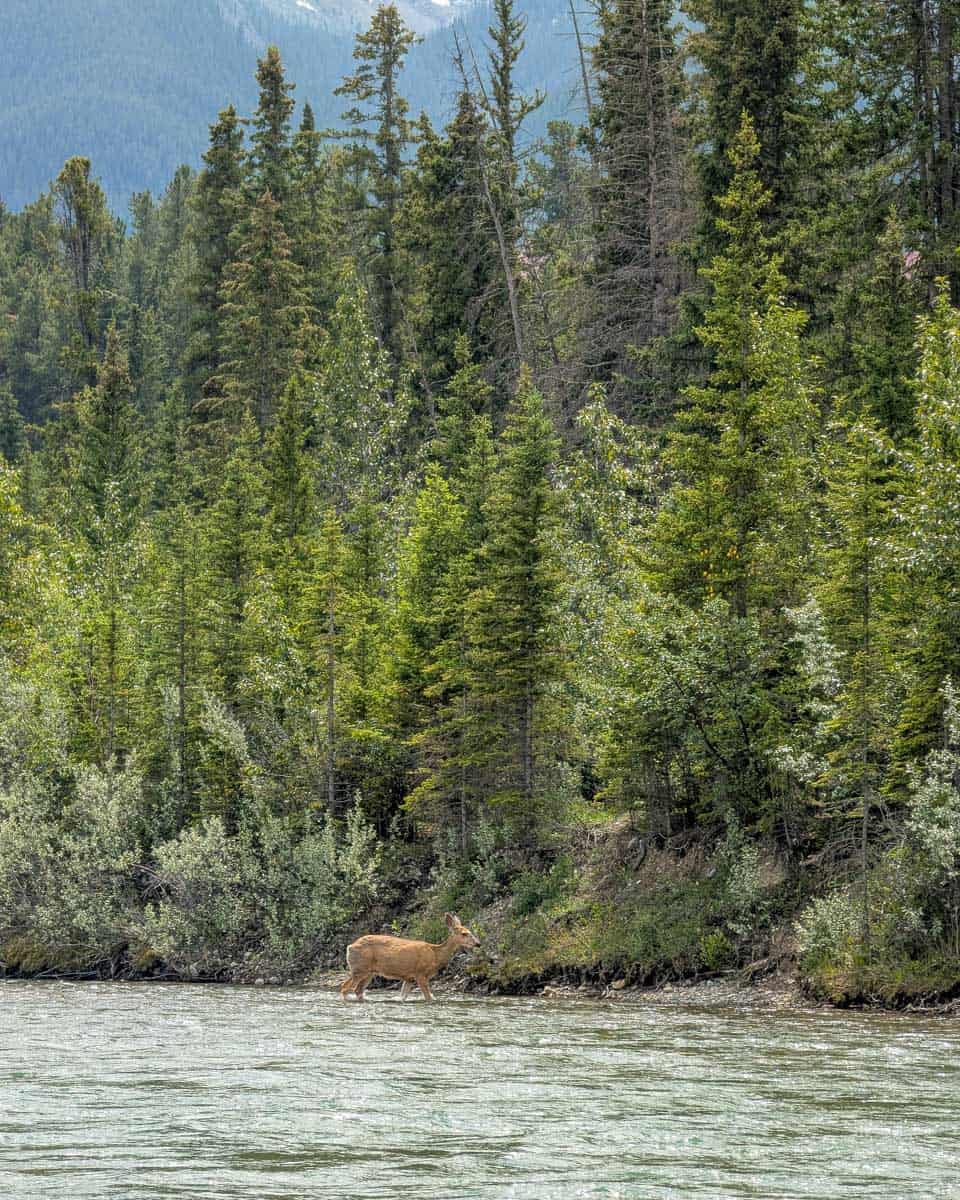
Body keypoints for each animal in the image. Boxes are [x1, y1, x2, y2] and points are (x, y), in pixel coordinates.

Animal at [339, 912, 480, 1002]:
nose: (478, 943)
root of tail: (350, 946)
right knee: (345, 988)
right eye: (464, 933)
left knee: (358, 990)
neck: (435, 955)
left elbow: (402, 997)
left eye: (470, 931)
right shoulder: (420, 974)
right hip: (359, 968)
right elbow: (429, 998)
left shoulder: (408, 978)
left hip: (369, 972)